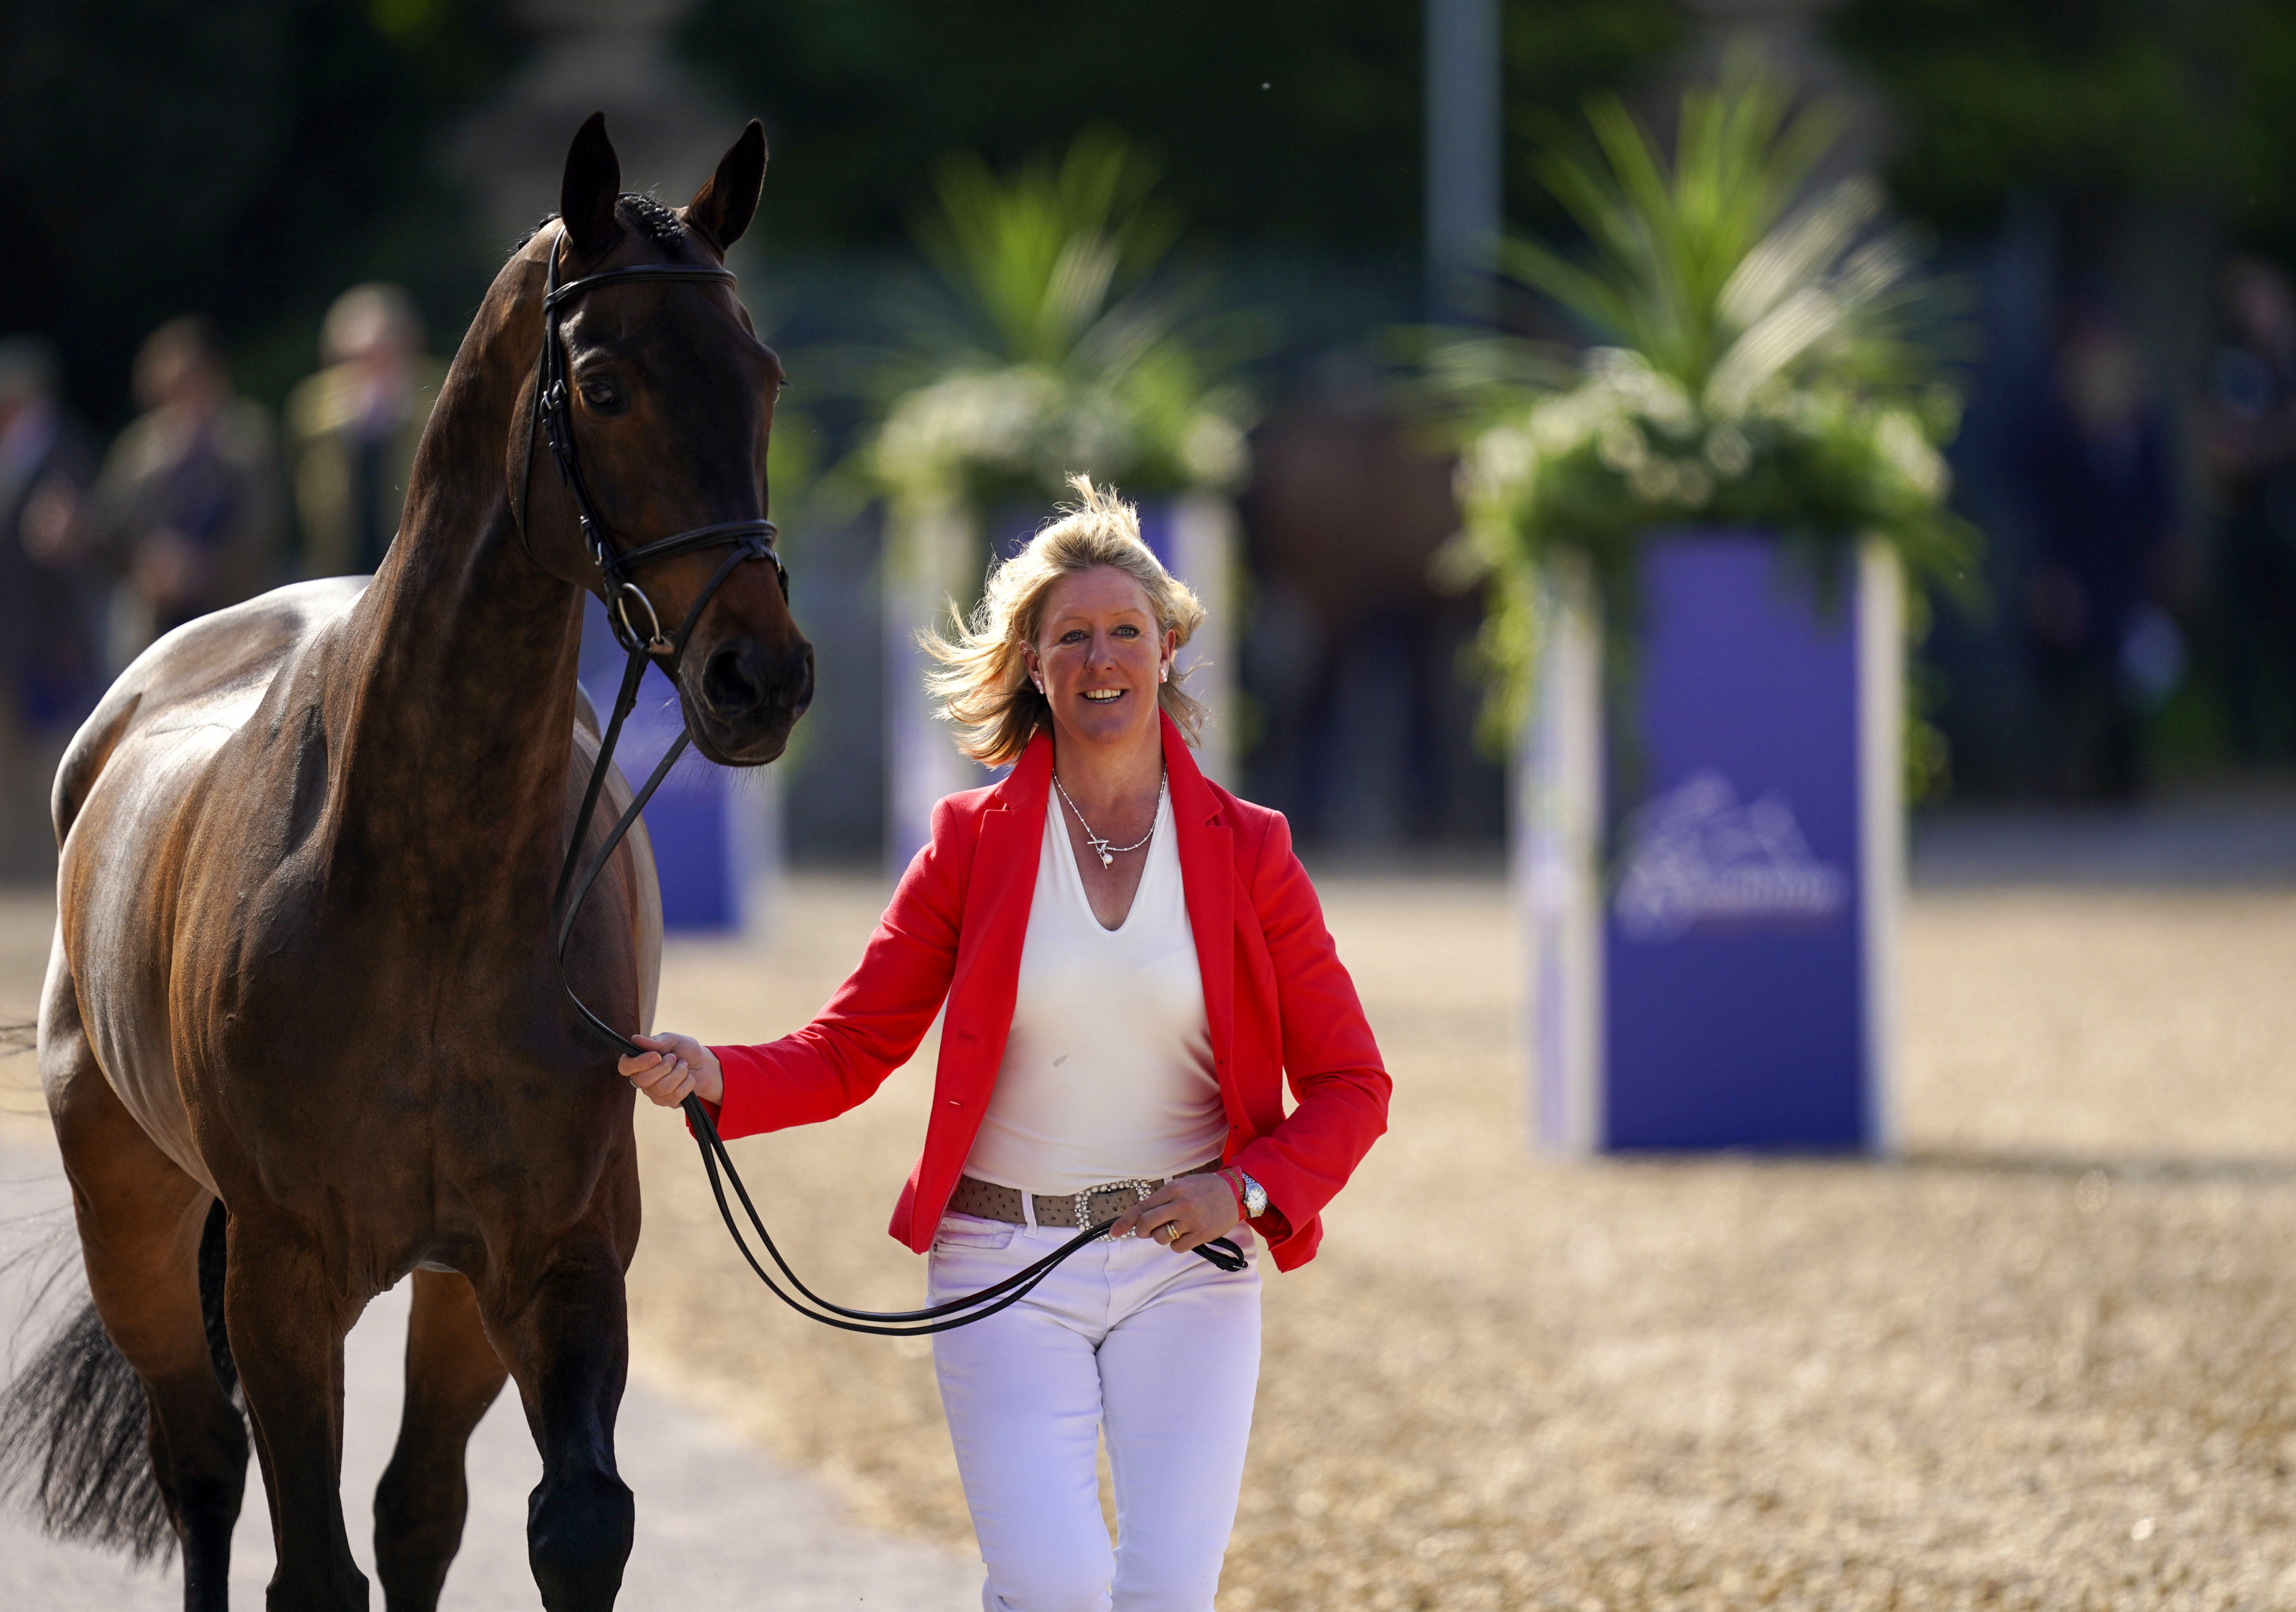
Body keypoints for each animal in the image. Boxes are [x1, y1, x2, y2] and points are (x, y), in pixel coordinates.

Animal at [0, 117, 808, 1612]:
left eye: (763, 378)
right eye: (603, 384)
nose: (758, 678)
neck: (432, 884)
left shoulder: (549, 1255)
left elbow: (567, 1522)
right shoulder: (283, 1275)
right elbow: (310, 1561)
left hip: (442, 1294)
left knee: (414, 1508)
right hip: (132, 1206)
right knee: (203, 1466)